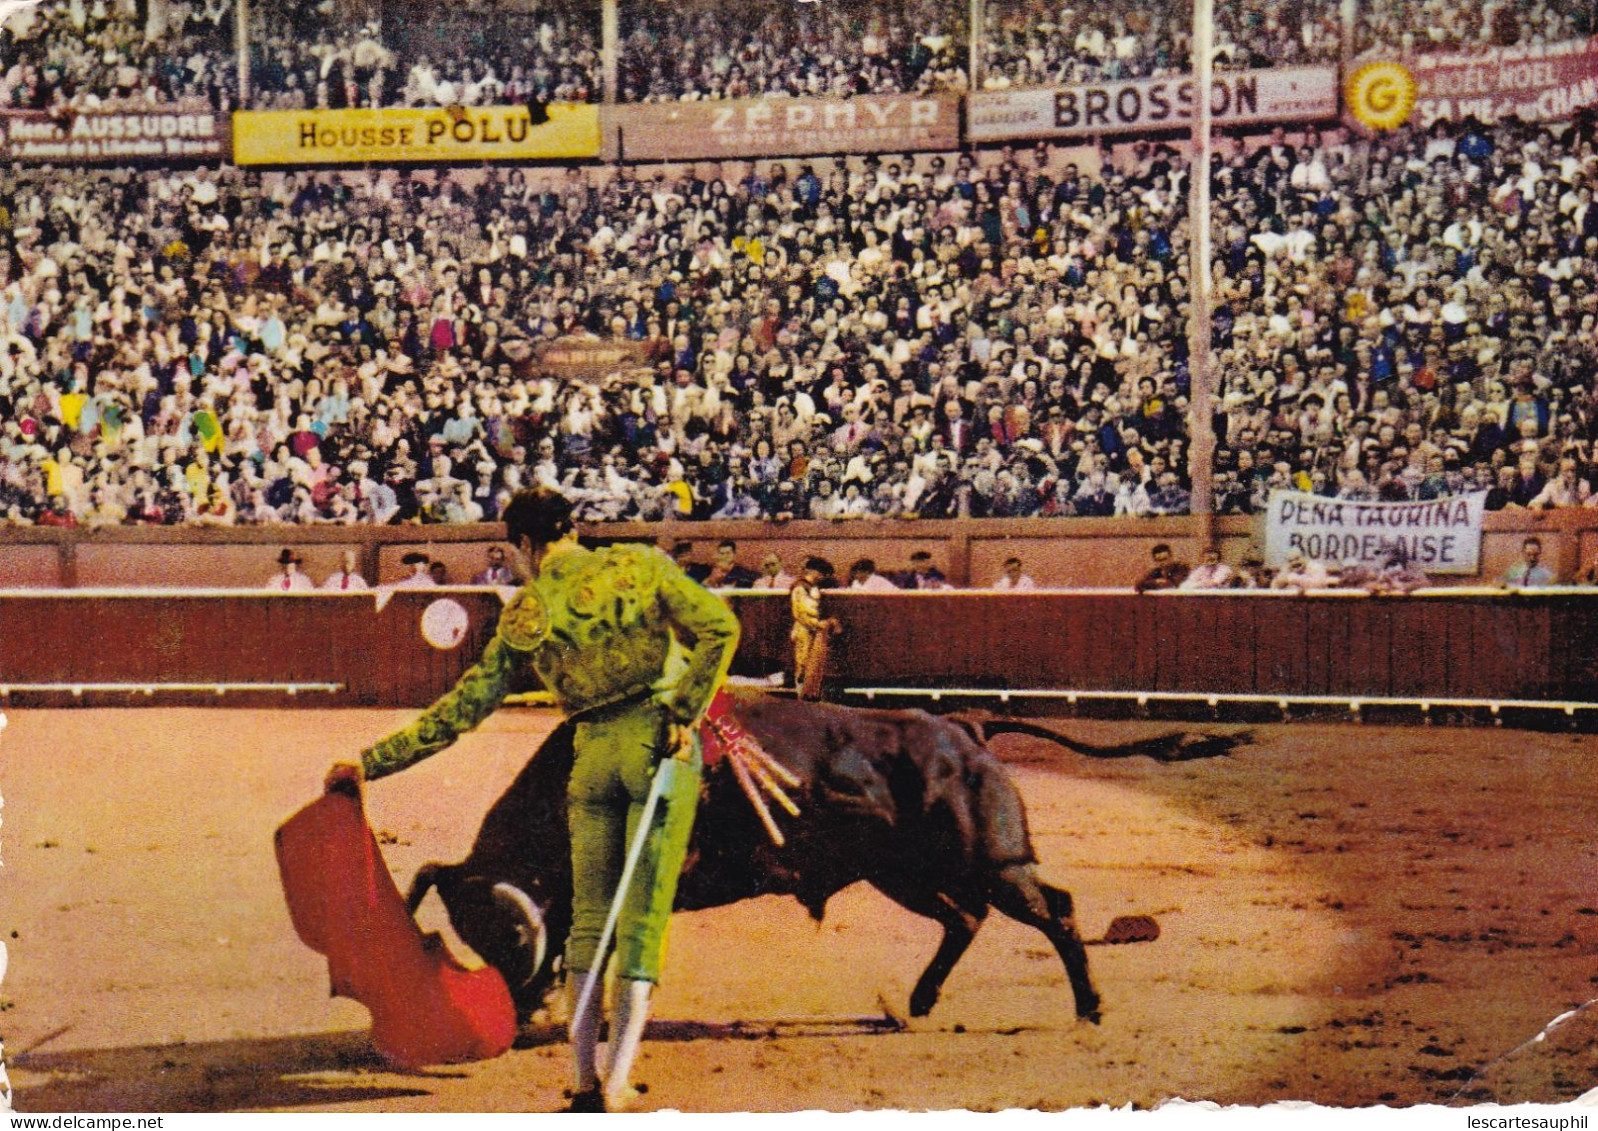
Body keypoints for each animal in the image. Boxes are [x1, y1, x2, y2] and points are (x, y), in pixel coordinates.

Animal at [402, 693, 1233, 1028]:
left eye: (509, 932)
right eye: (474, 936)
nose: (514, 1010)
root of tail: (964, 728)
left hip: (991, 862)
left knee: (1053, 911)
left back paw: (1090, 1006)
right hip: (905, 874)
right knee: (963, 920)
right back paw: (917, 1001)